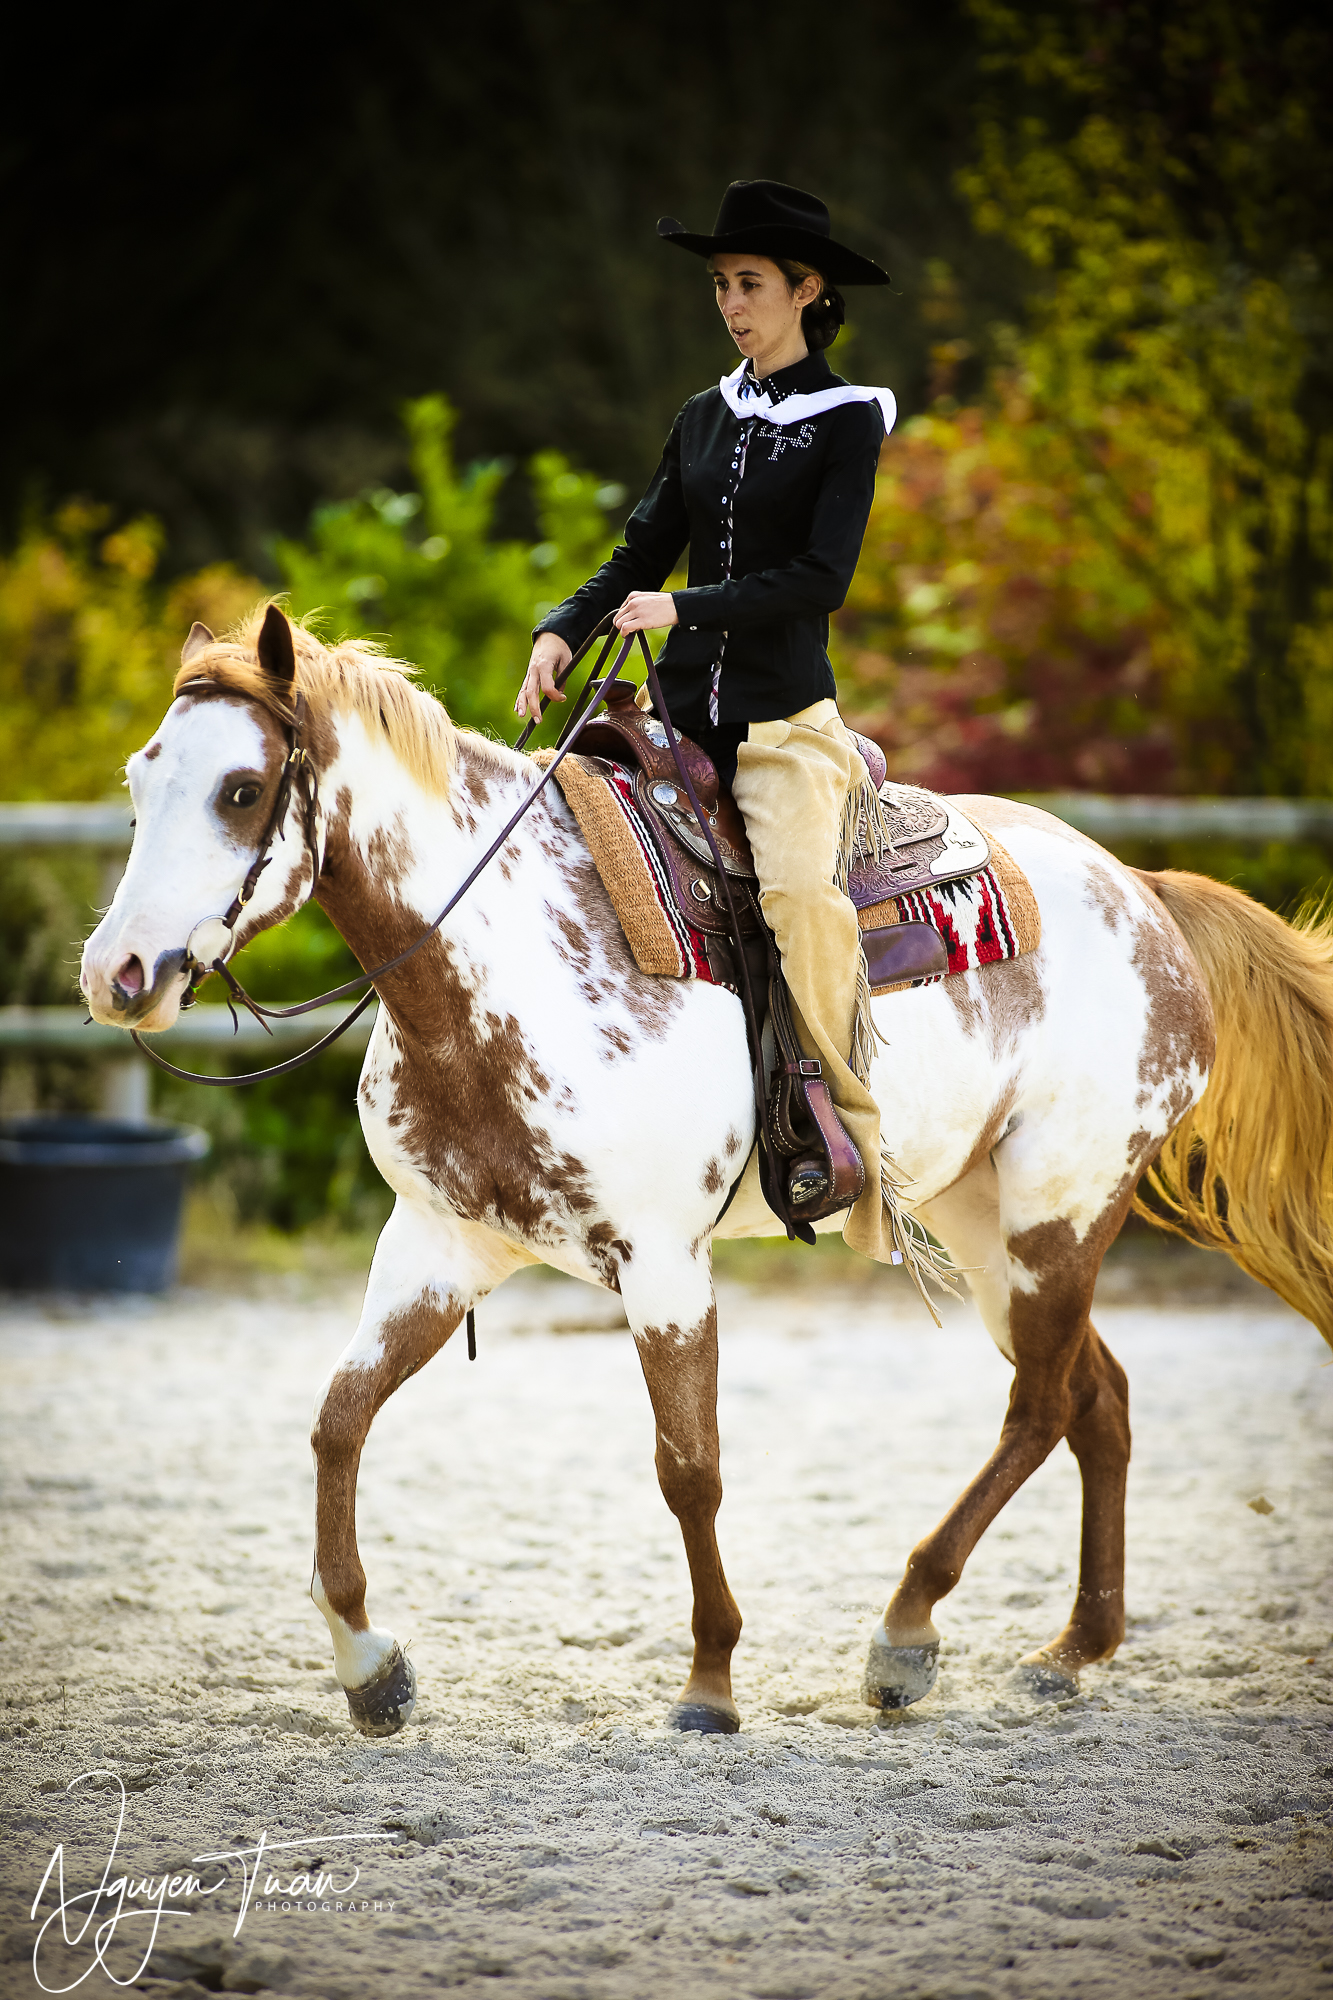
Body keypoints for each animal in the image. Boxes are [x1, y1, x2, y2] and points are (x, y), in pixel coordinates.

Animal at [80, 606, 1333, 1737]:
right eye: (141, 777)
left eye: (242, 790)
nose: (117, 972)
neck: (506, 954)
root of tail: (1143, 888)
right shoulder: (438, 1242)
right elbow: (338, 1420)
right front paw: (369, 1663)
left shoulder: (661, 1261)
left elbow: (689, 1466)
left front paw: (710, 1683)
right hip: (982, 1223)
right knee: (1093, 1397)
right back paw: (1069, 1652)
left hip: (1058, 1208)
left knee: (1039, 1403)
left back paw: (905, 1632)